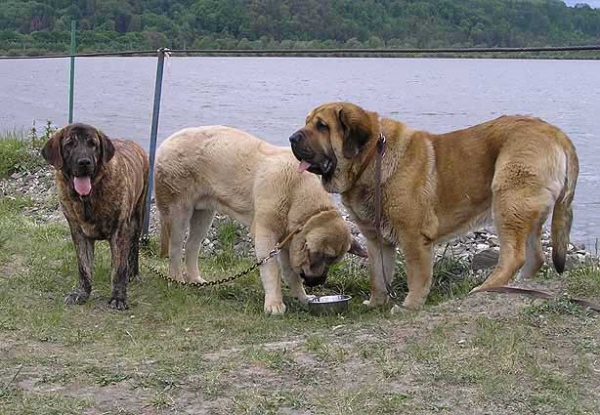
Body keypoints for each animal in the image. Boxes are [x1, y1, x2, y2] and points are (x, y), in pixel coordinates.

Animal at [42, 122, 149, 308]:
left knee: (133, 248)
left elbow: (119, 269)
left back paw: (132, 273)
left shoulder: (120, 231)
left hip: (137, 218)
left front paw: (118, 297)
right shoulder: (78, 232)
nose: (84, 162)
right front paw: (81, 293)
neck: (87, 198)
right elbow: (84, 267)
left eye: (93, 144)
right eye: (69, 144)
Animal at [154, 126, 366, 316]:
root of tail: (165, 144)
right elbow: (272, 269)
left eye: (332, 262)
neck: (296, 194)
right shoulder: (267, 233)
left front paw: (304, 298)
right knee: (176, 247)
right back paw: (176, 280)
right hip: (178, 210)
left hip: (204, 213)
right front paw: (274, 305)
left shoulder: (289, 240)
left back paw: (195, 280)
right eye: (321, 257)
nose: (319, 281)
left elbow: (291, 273)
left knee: (192, 245)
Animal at [288, 103, 580, 312]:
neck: (372, 159)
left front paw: (409, 306)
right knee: (535, 256)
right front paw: (376, 303)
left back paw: (487, 288)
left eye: (322, 126)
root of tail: (555, 133)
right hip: (526, 211)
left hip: (508, 202)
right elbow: (378, 276)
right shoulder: (377, 240)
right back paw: (520, 287)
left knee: (514, 256)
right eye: (307, 122)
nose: (292, 138)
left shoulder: (413, 237)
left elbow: (417, 275)